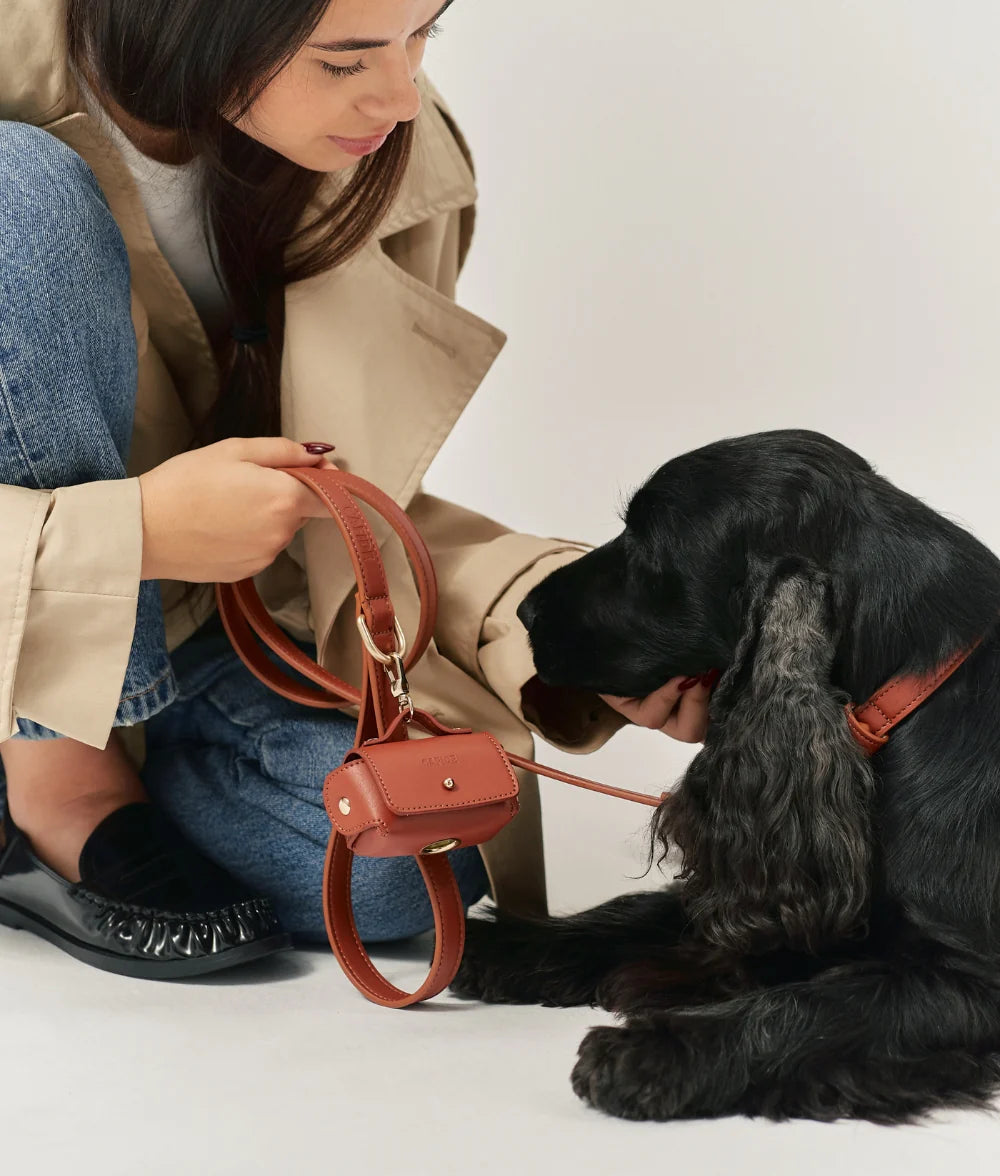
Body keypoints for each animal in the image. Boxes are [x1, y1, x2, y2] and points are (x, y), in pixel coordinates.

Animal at [447, 430, 997, 1119]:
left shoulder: (970, 976)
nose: (522, 609)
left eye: (646, 543)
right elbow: (637, 911)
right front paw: (500, 945)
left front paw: (657, 1051)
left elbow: (815, 1007)